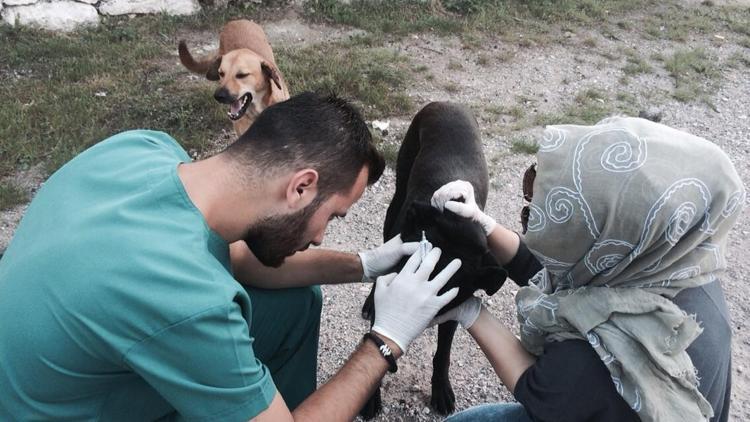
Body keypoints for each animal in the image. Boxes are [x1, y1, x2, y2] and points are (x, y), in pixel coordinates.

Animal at [362, 101, 508, 416]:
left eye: (446, 296)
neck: (454, 218)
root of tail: (445, 103)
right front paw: (369, 397)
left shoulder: (454, 310)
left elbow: (442, 353)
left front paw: (441, 389)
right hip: (395, 199)